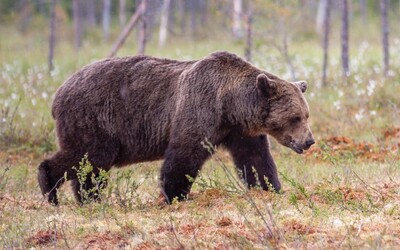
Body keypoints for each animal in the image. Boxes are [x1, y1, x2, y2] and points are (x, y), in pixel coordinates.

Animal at [37, 51, 314, 205]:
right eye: (296, 117)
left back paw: (85, 198)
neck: (231, 104)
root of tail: (59, 91)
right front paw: (173, 195)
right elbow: (184, 155)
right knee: (89, 157)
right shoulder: (200, 109)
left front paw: (270, 187)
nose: (309, 141)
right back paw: (51, 188)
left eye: (306, 115)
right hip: (95, 119)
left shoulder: (238, 131)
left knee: (88, 165)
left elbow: (255, 159)